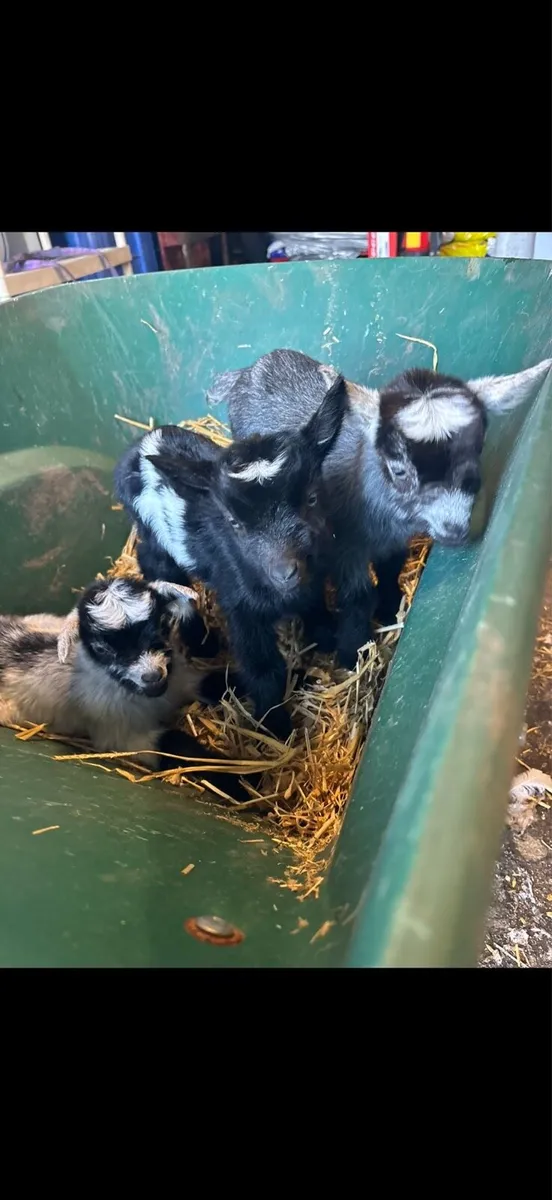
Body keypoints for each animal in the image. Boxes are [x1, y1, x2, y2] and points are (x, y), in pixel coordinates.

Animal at [0, 576, 252, 802]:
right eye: (102, 649)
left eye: (161, 627)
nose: (152, 676)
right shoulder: (122, 736)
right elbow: (175, 743)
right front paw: (240, 784)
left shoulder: (184, 680)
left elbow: (219, 683)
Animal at [114, 375, 348, 738]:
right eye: (233, 522)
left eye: (311, 498)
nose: (285, 571)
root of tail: (146, 441)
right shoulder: (241, 608)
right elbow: (263, 668)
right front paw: (276, 728)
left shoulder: (312, 579)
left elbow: (318, 614)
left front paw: (326, 645)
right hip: (151, 532)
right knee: (160, 569)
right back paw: (202, 642)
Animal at [209, 347, 552, 667]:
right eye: (398, 470)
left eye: (477, 450)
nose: (455, 530)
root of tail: (250, 368)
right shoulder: (346, 548)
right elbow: (358, 596)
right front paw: (352, 653)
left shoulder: (393, 541)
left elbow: (391, 568)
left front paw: (390, 609)